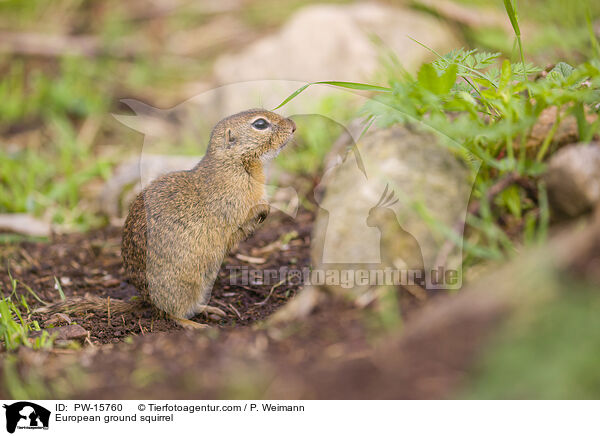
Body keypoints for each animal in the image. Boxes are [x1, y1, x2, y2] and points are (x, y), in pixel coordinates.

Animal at [38, 109, 296, 328]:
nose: (293, 126)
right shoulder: (231, 204)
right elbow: (243, 216)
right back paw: (195, 324)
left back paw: (210, 309)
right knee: (171, 314)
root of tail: (146, 300)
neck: (234, 163)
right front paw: (264, 208)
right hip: (186, 284)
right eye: (260, 124)